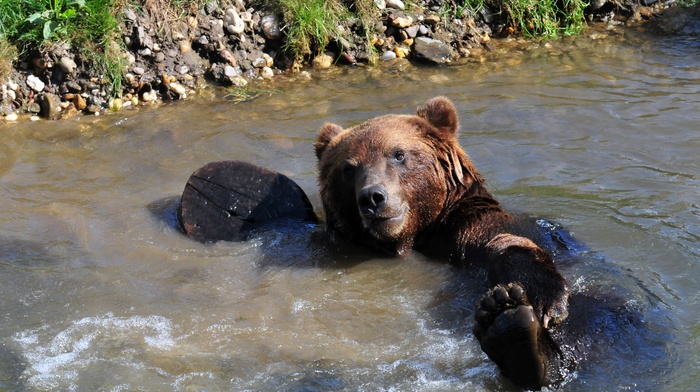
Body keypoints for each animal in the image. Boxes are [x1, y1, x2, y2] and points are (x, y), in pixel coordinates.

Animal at [314, 96, 572, 388]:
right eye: (348, 168)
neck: (413, 238)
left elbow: (510, 243)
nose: (372, 197)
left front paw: (547, 302)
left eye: (398, 154)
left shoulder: (468, 229)